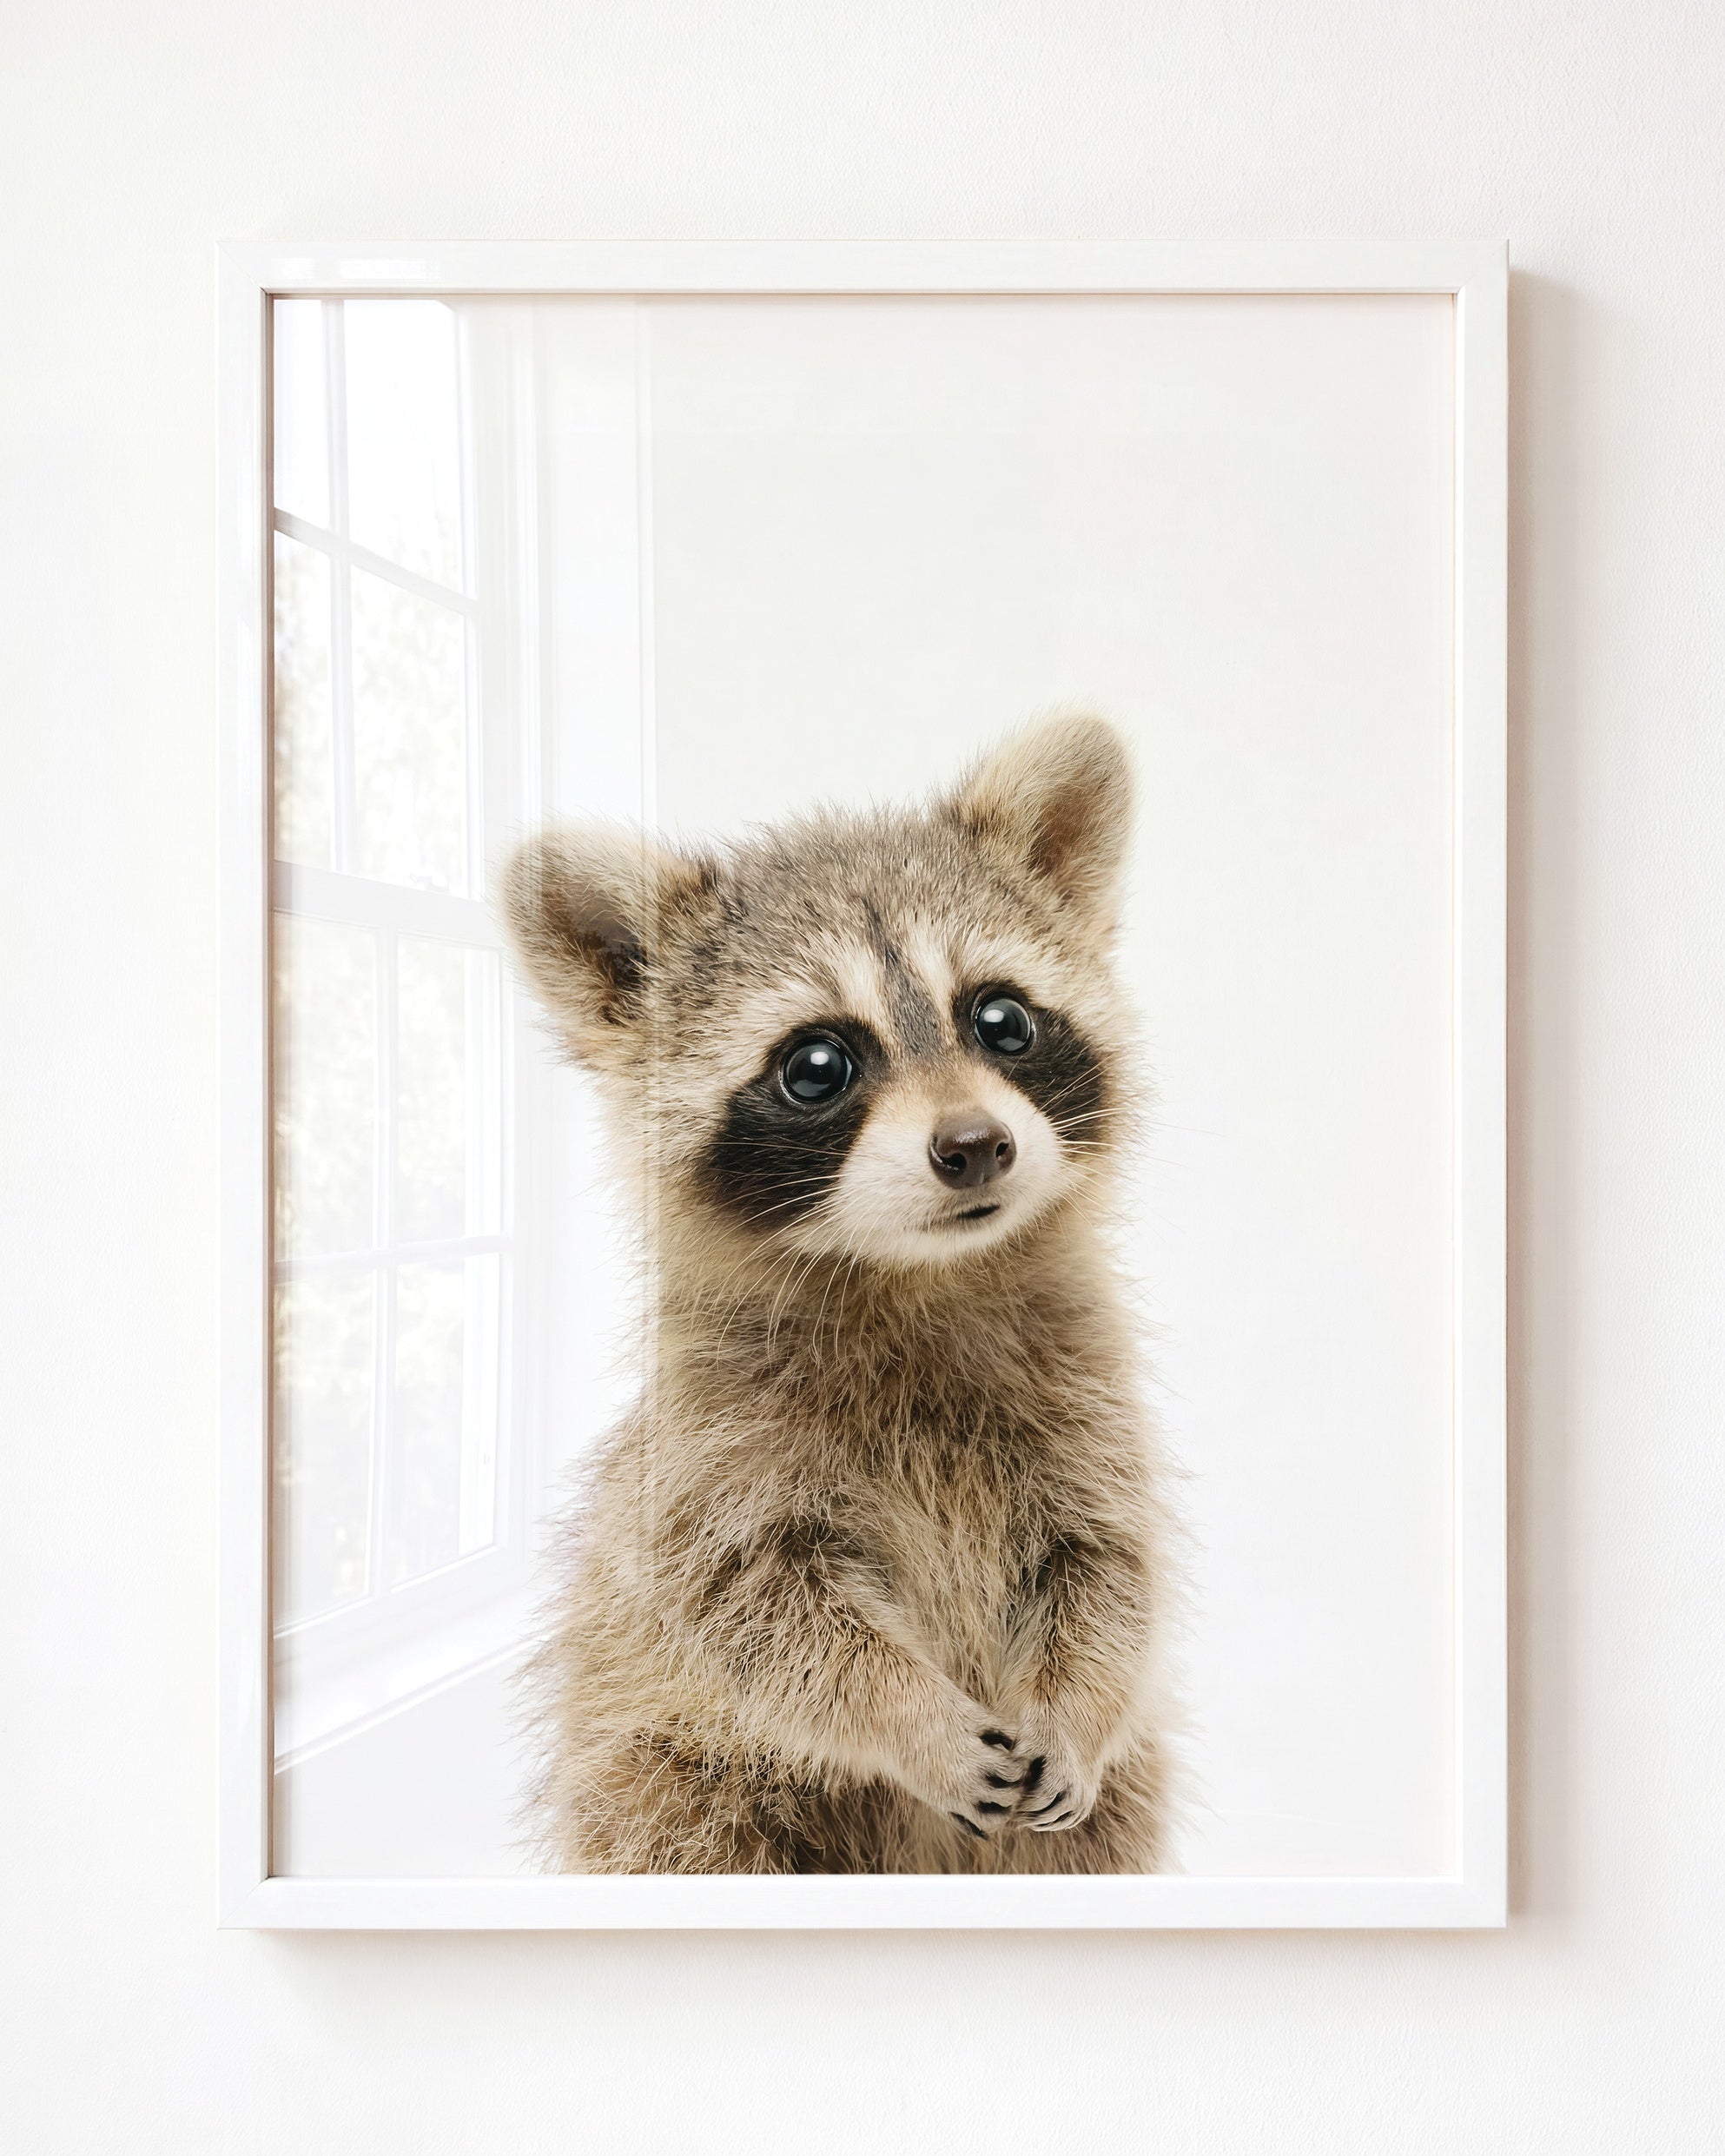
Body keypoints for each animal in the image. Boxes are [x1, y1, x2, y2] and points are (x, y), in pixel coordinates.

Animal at [503, 714, 1181, 1874]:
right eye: (818, 1064)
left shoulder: (1089, 1405)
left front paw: (1079, 1703)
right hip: (665, 1778)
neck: (918, 1276)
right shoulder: (706, 1460)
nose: (975, 1145)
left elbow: (1109, 1567)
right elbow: (760, 1618)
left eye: (1002, 1019)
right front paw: (910, 1717)